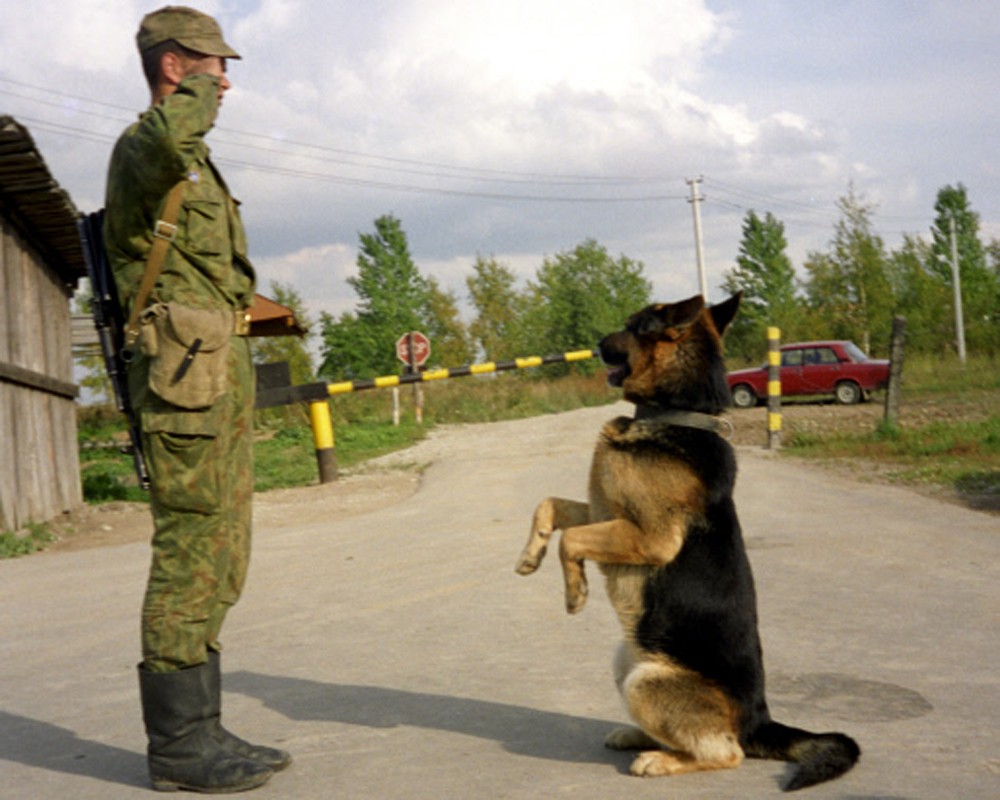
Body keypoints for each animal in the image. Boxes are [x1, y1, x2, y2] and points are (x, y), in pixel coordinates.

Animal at [516, 296, 860, 792]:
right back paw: (637, 737)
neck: (675, 414)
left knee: (725, 752)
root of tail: (758, 721)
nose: (595, 344)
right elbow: (549, 507)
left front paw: (574, 592)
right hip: (626, 663)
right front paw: (530, 556)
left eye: (633, 326)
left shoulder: (648, 537)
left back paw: (659, 761)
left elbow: (572, 540)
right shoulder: (604, 513)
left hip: (645, 682)